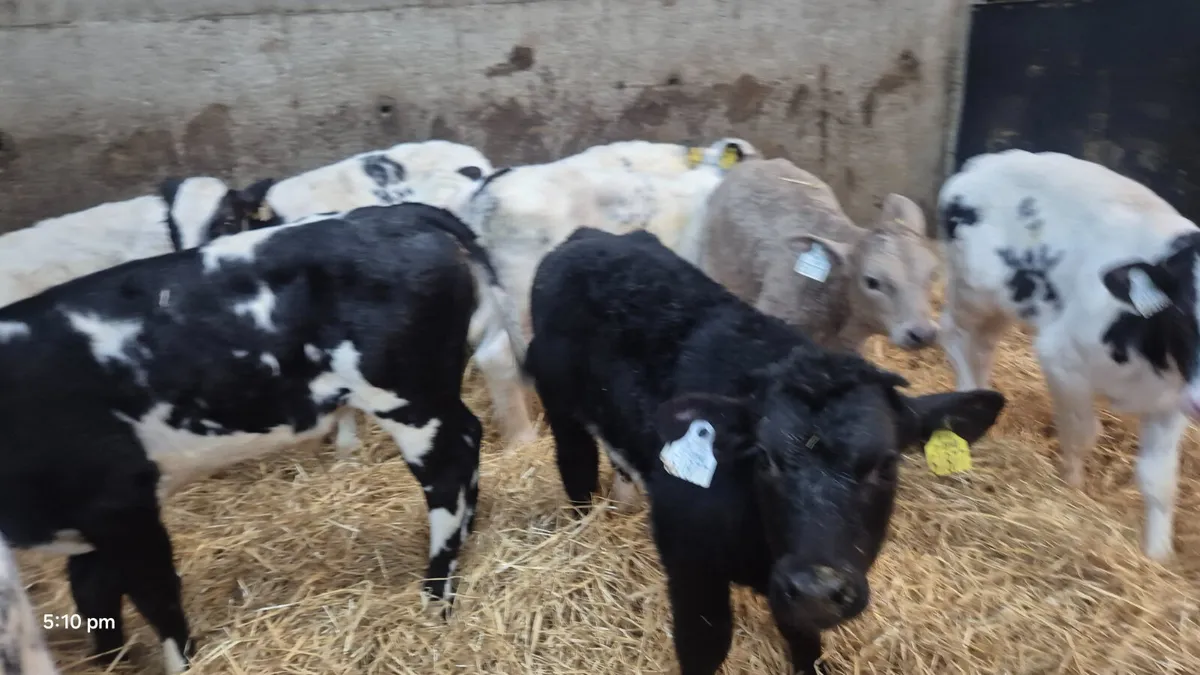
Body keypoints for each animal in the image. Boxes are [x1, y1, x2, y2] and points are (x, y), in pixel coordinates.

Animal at [521, 227, 1007, 675]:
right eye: (767, 458)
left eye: (886, 464)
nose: (817, 589)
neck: (759, 544)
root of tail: (588, 236)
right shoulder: (690, 568)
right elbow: (704, 648)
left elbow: (806, 646)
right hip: (560, 406)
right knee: (577, 467)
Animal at [937, 148, 1200, 561]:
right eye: (1184, 315)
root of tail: (986, 161)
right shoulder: (1062, 359)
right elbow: (1082, 433)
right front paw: (1073, 488)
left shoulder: (1172, 401)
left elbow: (1159, 482)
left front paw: (1157, 556)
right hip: (972, 290)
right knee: (953, 334)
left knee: (982, 346)